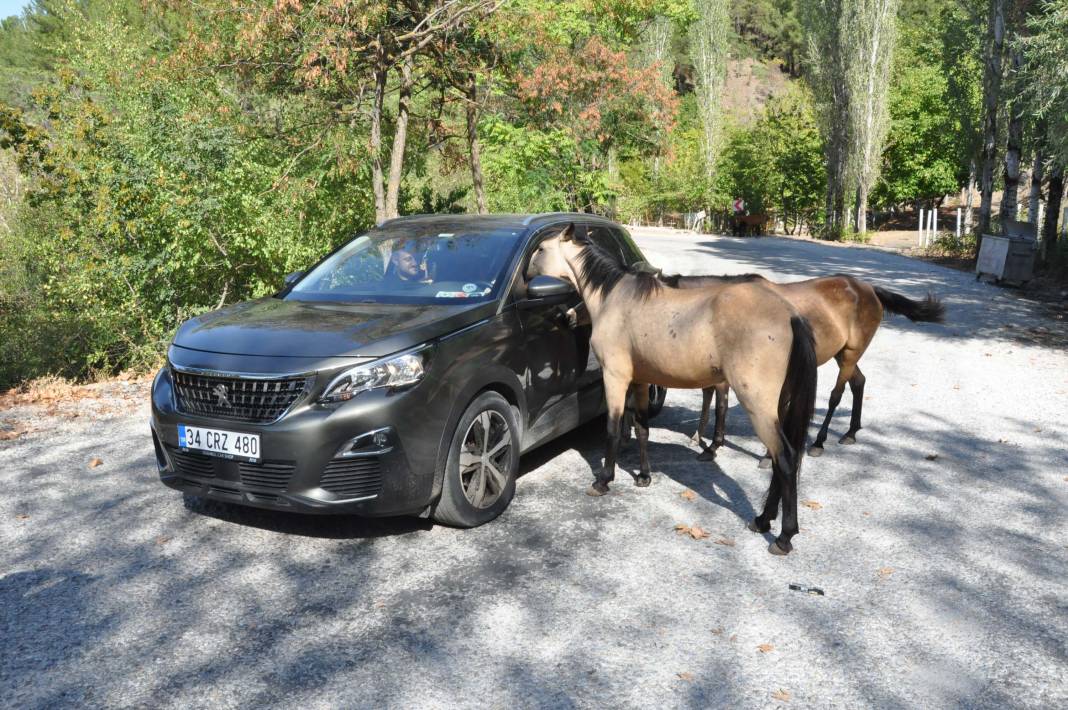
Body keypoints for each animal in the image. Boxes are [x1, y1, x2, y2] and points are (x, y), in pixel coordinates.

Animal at [531, 224, 815, 555]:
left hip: (758, 405)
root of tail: (789, 313)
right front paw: (644, 477)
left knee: (785, 459)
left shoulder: (615, 378)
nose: (566, 317)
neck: (614, 298)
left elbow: (613, 429)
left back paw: (783, 536)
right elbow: (642, 429)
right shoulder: (640, 381)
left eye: (541, 250)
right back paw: (762, 521)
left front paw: (603, 481)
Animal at [657, 272, 952, 465]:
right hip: (842, 354)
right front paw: (703, 439)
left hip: (849, 355)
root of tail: (868, 289)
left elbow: (722, 405)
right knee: (859, 382)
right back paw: (851, 432)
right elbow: (713, 400)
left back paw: (819, 442)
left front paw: (716, 447)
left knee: (836, 394)